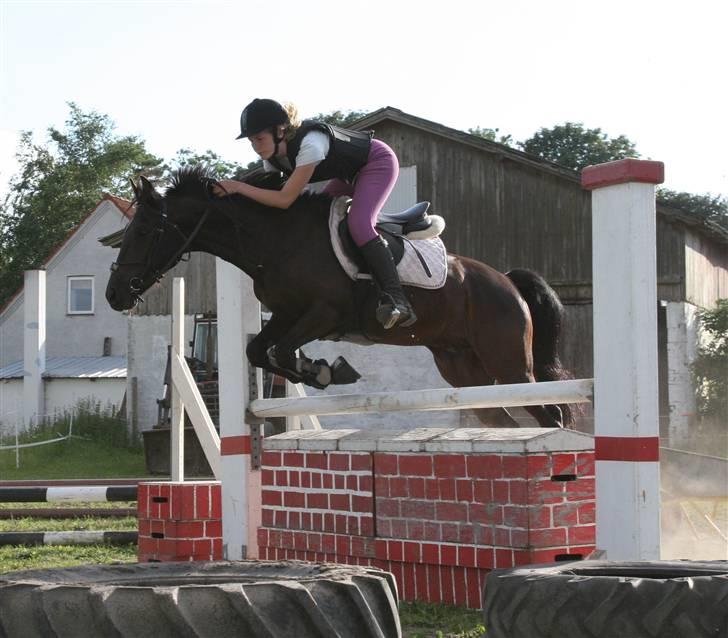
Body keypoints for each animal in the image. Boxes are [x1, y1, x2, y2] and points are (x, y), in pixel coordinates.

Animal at [106, 166, 576, 430]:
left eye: (144, 231)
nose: (114, 295)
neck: (275, 240)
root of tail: (507, 281)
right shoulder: (286, 314)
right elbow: (260, 350)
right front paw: (319, 371)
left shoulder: (324, 313)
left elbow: (280, 350)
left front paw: (323, 369)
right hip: (461, 367)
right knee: (501, 417)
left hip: (509, 362)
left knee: (548, 412)